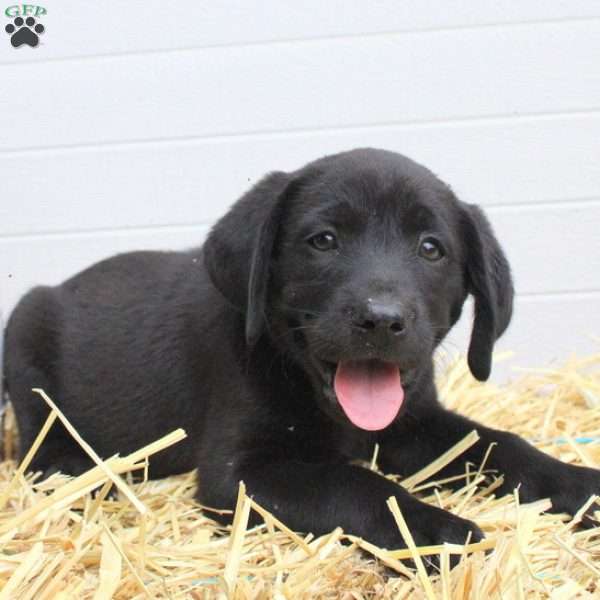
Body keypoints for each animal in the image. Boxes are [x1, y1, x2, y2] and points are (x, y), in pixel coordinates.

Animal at [4, 149, 600, 548]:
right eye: (324, 241)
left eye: (432, 249)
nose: (382, 320)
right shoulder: (239, 472)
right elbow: (354, 485)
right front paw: (437, 530)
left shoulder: (413, 424)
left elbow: (500, 445)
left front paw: (580, 485)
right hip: (24, 337)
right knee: (38, 448)